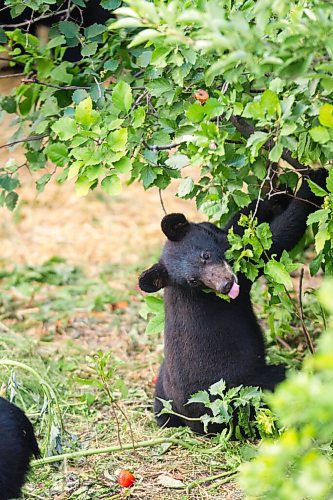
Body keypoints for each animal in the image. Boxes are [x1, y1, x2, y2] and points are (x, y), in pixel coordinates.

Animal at [139, 169, 326, 434]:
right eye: (193, 281)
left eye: (205, 256)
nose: (226, 286)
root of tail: (196, 422)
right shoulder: (245, 271)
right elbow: (275, 239)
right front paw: (314, 182)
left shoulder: (223, 237)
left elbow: (238, 222)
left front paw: (279, 190)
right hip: (249, 389)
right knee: (279, 383)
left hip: (162, 388)